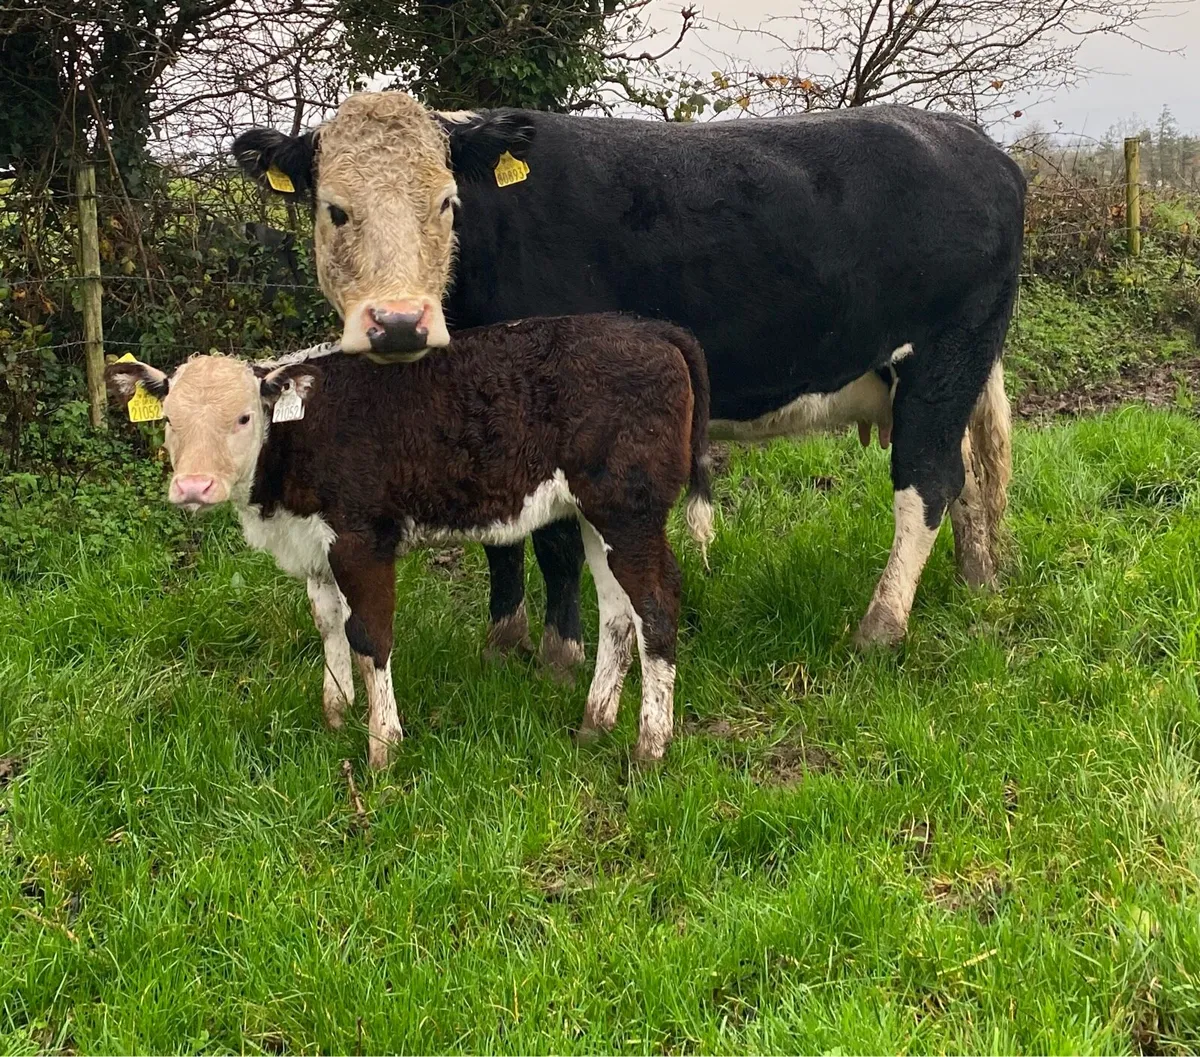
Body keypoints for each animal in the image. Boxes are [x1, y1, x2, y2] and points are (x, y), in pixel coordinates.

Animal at [106, 315, 713, 768]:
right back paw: (594, 723)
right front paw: (336, 712)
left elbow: (370, 635)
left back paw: (650, 746)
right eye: (169, 420)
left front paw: (382, 748)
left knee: (656, 605)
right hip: (598, 514)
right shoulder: (314, 545)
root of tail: (653, 330)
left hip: (630, 510)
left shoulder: (361, 539)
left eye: (243, 417)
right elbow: (328, 623)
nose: (193, 486)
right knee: (618, 612)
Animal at [232, 91, 1024, 666]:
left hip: (944, 357)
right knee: (967, 478)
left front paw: (559, 652)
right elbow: (499, 538)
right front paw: (502, 643)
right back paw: (976, 581)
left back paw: (881, 625)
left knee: (926, 483)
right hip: (945, 376)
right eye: (335, 209)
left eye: (446, 203)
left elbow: (551, 539)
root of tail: (976, 142)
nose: (398, 322)